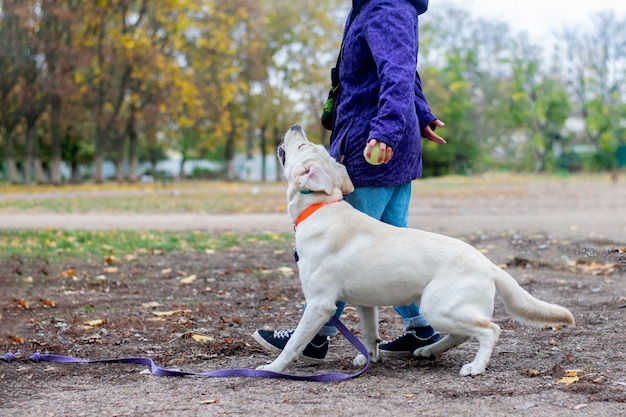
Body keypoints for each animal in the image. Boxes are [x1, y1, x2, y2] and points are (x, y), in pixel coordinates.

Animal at [256, 125, 572, 376]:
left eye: (301, 146)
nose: (296, 126)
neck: (319, 207)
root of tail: (490, 265)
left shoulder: (320, 303)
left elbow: (294, 342)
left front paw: (273, 367)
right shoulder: (366, 304)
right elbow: (370, 335)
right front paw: (370, 359)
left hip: (437, 305)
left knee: (489, 330)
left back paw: (475, 367)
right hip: (436, 305)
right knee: (460, 334)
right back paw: (428, 351)